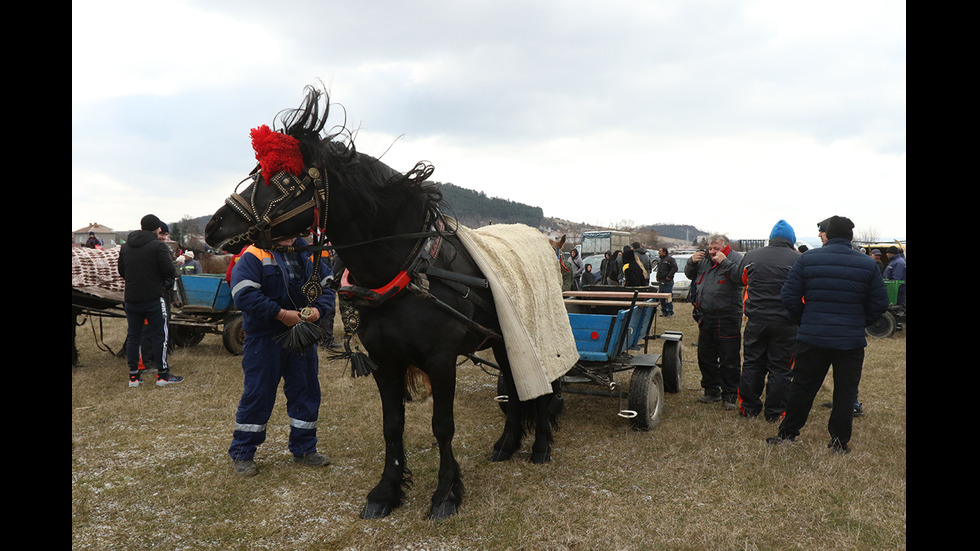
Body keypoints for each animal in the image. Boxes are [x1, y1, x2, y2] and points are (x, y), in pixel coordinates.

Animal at [203, 85, 564, 516]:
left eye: (283, 180)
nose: (213, 226)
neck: (406, 267)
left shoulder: (441, 360)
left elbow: (443, 426)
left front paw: (446, 493)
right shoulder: (384, 360)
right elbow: (392, 425)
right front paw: (387, 490)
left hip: (534, 334)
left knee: (542, 388)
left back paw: (541, 447)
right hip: (503, 338)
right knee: (515, 381)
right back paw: (506, 444)